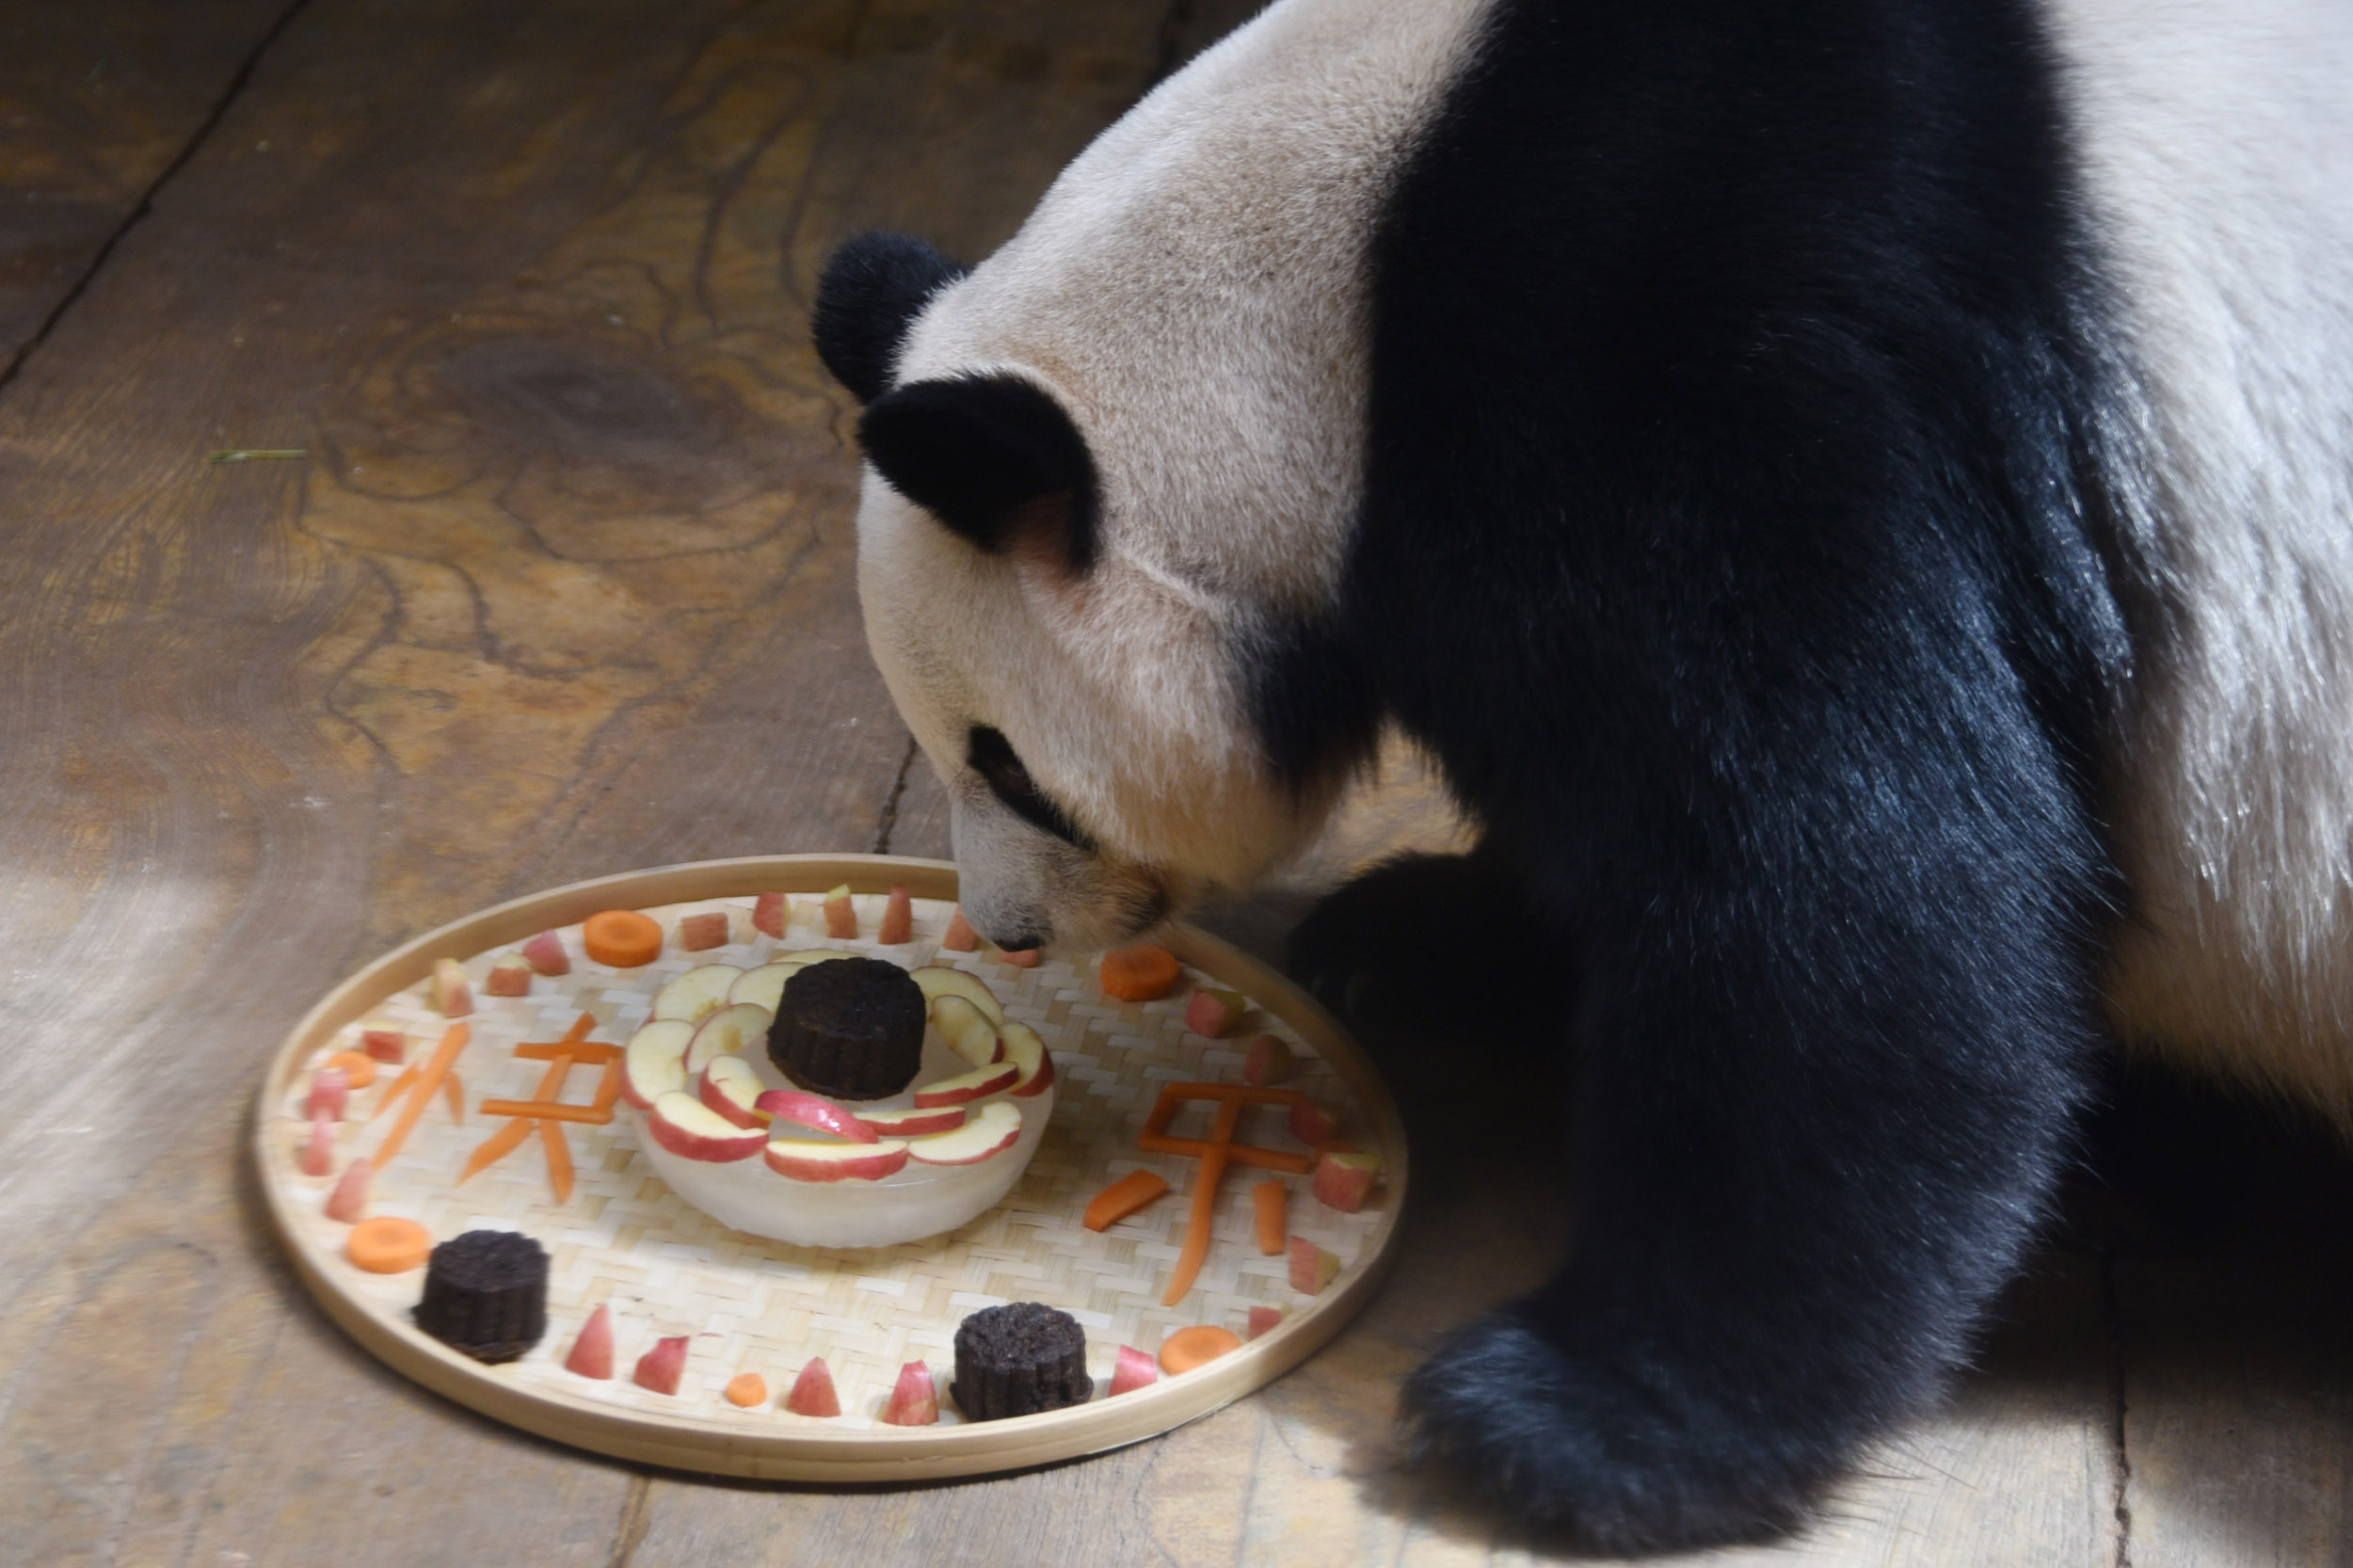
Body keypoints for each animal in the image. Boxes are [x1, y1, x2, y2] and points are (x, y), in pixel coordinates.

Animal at [809, 0, 2353, 1534]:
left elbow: (1864, 887)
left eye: (1008, 765)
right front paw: (1419, 936)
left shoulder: (1698, 342)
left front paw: (1575, 1421)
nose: (1011, 928)